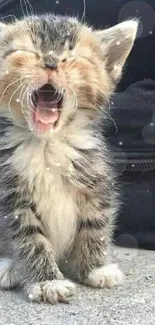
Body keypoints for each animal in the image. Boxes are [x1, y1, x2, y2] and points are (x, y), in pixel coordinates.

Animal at [0, 15, 137, 302]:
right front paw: (47, 281)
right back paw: (8, 267)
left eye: (71, 57)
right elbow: (29, 239)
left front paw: (95, 268)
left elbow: (95, 226)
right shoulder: (10, 196)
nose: (51, 62)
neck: (48, 146)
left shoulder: (97, 181)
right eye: (30, 51)